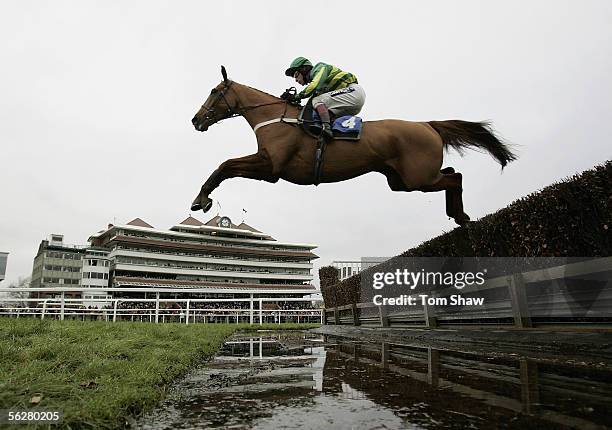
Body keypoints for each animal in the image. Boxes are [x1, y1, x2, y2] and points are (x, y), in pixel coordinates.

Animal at [191, 66, 516, 225]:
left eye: (214, 91)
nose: (195, 120)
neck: (275, 117)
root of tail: (426, 124)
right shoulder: (267, 164)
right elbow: (226, 166)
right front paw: (201, 198)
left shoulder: (271, 167)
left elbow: (225, 166)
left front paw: (201, 199)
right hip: (402, 181)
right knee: (450, 174)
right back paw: (459, 215)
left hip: (417, 177)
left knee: (455, 177)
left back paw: (460, 216)